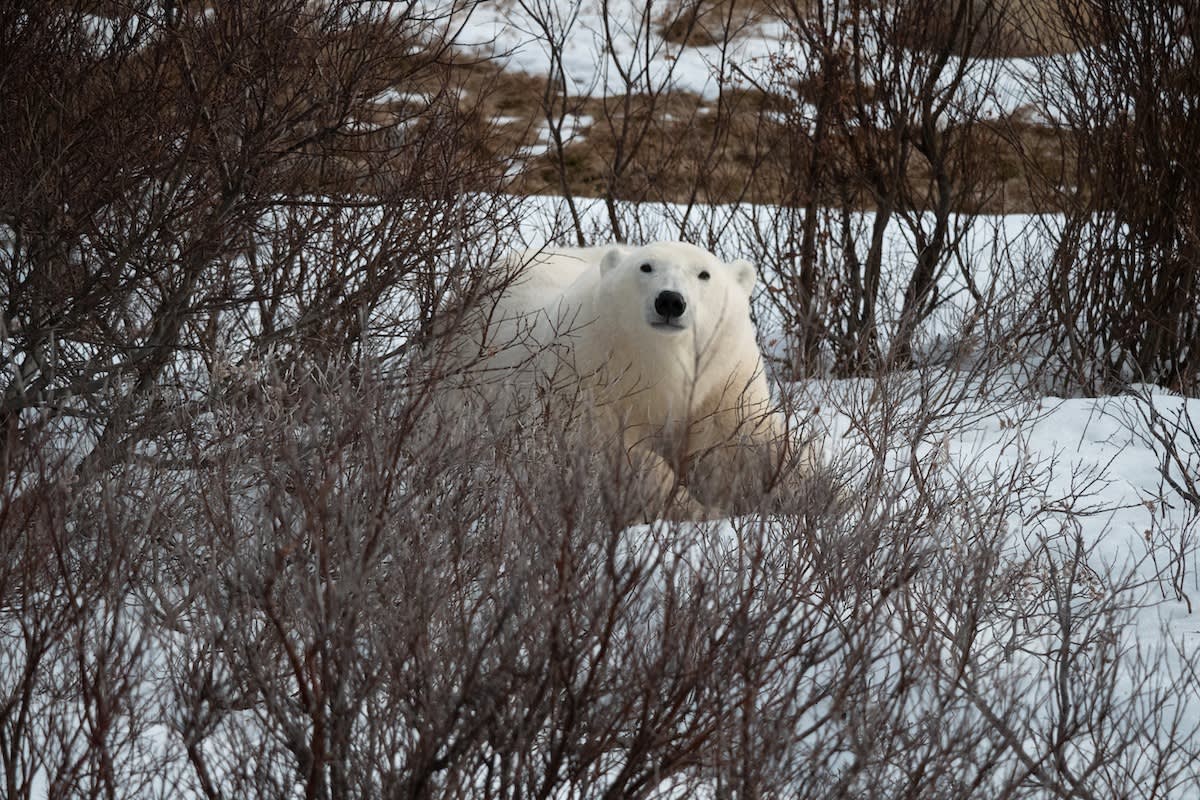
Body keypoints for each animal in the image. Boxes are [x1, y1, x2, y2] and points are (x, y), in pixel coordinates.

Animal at [436, 241, 811, 522]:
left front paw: (812, 492)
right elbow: (607, 450)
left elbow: (748, 442)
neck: (661, 365)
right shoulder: (590, 373)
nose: (670, 300)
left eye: (704, 273)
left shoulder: (723, 380)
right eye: (645, 267)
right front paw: (695, 508)